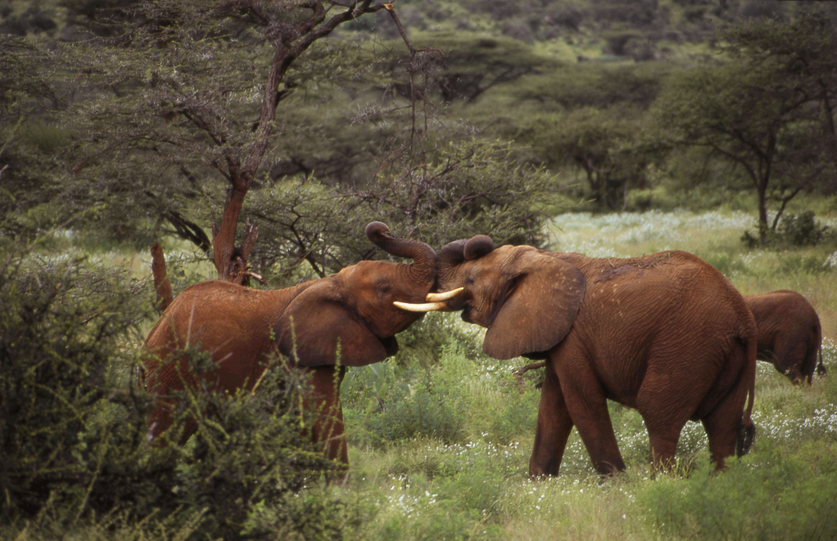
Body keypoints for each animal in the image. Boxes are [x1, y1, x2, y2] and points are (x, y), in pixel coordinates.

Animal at [142, 224, 458, 468]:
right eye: (384, 290)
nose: (381, 229)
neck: (330, 282)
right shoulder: (298, 357)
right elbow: (324, 411)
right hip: (170, 369)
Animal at [424, 236, 756, 476]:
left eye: (470, 280)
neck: (544, 257)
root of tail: (742, 315)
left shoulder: (573, 338)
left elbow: (582, 402)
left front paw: (616, 482)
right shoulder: (560, 337)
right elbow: (553, 404)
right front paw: (538, 483)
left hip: (687, 346)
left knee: (659, 416)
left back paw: (660, 485)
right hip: (725, 356)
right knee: (723, 426)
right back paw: (720, 485)